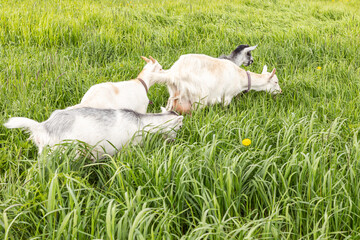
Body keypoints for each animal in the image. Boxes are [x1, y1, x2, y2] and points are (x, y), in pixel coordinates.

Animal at [148, 54, 282, 114]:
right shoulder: (227, 95)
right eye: (275, 82)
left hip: (174, 92)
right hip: (199, 96)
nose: (280, 91)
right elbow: (225, 107)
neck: (241, 78)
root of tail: (173, 72)